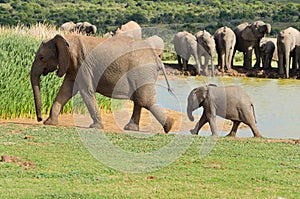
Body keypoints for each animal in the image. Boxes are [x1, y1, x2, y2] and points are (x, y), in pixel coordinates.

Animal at [29, 34, 173, 133]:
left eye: (41, 57)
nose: (39, 119)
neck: (66, 38)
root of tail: (157, 58)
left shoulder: (83, 65)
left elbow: (85, 91)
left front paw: (95, 127)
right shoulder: (73, 66)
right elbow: (65, 91)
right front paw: (50, 123)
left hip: (141, 71)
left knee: (144, 99)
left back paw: (169, 125)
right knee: (139, 98)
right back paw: (132, 128)